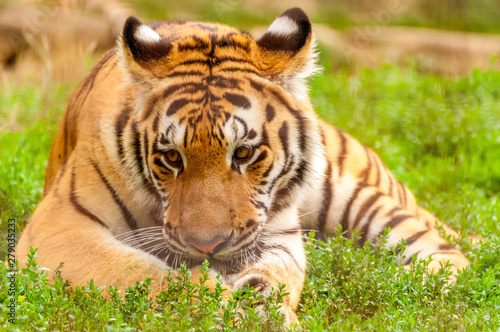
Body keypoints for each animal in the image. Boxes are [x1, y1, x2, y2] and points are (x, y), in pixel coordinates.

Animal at [15, 7, 468, 324]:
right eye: (171, 157)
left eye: (244, 153)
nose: (208, 247)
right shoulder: (61, 224)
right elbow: (140, 273)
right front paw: (216, 302)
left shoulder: (280, 234)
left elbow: (277, 277)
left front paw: (264, 309)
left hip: (355, 196)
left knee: (450, 254)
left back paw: (418, 287)